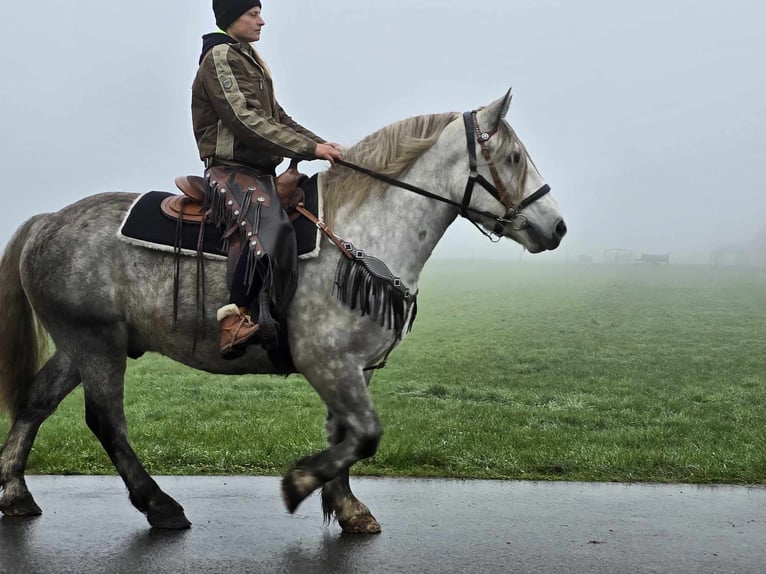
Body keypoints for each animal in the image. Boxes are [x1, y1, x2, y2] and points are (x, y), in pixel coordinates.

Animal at [0, 90, 564, 536]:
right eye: (513, 157)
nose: (555, 227)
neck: (360, 232)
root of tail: (48, 220)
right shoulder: (326, 360)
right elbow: (364, 434)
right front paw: (299, 484)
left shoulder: (351, 366)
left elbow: (347, 433)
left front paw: (347, 507)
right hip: (96, 344)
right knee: (106, 420)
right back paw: (160, 506)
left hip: (81, 344)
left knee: (36, 401)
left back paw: (16, 493)